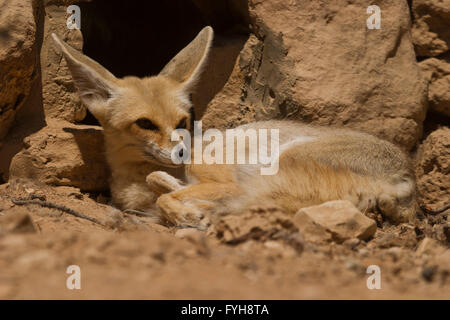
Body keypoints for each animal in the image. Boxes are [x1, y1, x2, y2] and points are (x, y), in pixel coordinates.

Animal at [51, 26, 416, 228]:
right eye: (145, 123)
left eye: (182, 122)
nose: (182, 153)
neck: (132, 180)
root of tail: (407, 178)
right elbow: (161, 185)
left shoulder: (223, 181)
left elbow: (166, 195)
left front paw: (185, 213)